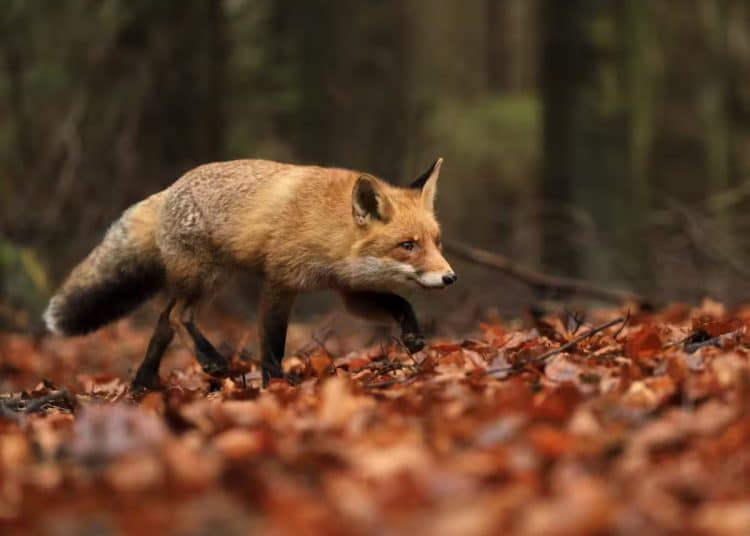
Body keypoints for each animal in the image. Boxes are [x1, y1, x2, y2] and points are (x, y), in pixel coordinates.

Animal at [44, 158, 457, 390]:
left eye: (437, 242)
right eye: (408, 245)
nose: (450, 278)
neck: (329, 230)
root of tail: (167, 189)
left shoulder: (348, 289)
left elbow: (400, 302)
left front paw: (413, 336)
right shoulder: (280, 282)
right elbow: (271, 344)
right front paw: (275, 386)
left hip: (206, 280)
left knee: (162, 321)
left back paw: (144, 384)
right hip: (208, 277)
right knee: (176, 315)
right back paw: (209, 360)